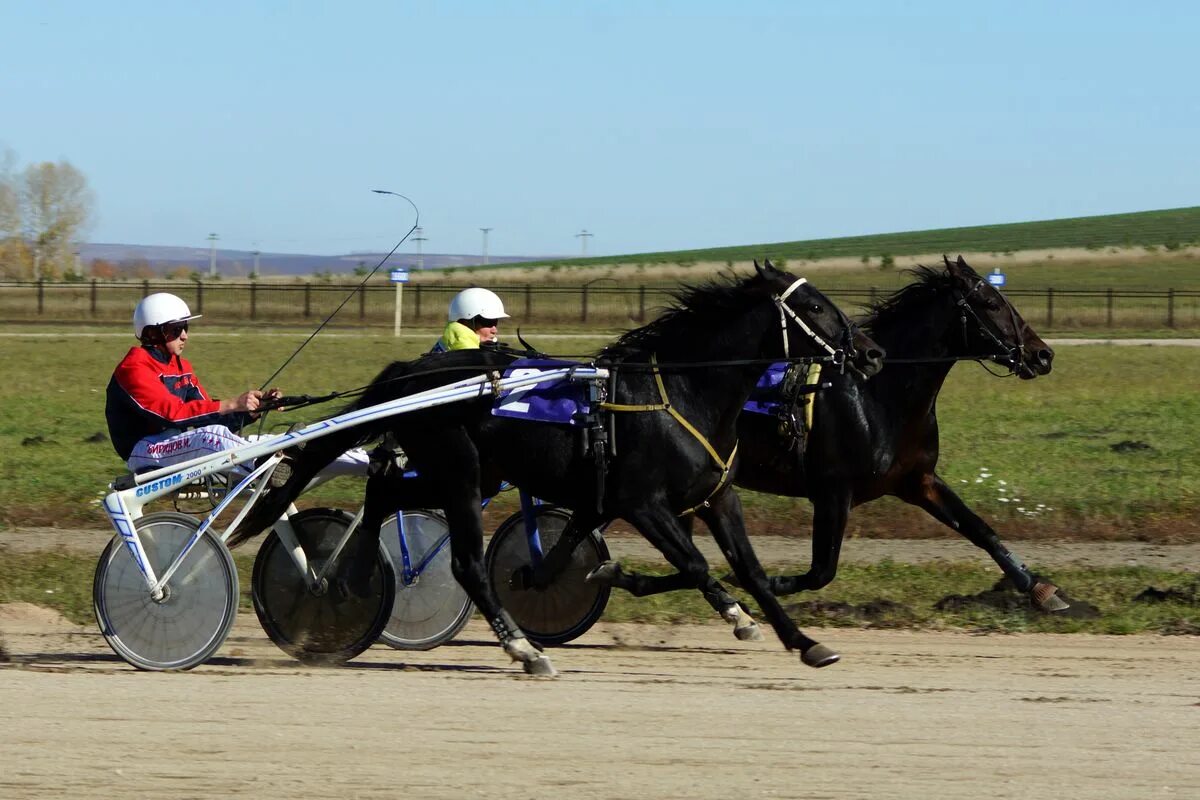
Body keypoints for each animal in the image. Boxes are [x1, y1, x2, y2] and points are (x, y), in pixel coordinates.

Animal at [234, 262, 888, 676]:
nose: (872, 353)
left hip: (456, 471)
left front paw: (804, 642)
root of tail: (409, 373)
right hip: (460, 473)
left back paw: (343, 577)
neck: (679, 391)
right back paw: (524, 651)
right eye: (814, 306)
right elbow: (699, 564)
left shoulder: (714, 497)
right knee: (464, 562)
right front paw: (731, 616)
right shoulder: (643, 503)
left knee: (380, 496)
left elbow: (750, 570)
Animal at [588, 255, 1060, 614]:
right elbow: (821, 571)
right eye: (990, 302)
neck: (877, 394)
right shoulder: (834, 490)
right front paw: (758, 585)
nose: (1043, 355)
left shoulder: (918, 480)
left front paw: (1041, 588)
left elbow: (981, 529)